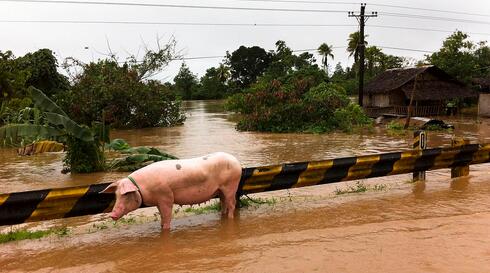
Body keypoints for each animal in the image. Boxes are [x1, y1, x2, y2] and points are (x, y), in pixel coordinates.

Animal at [100, 152, 243, 228]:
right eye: (116, 195)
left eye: (126, 195)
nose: (112, 214)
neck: (143, 187)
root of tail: (236, 161)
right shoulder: (159, 200)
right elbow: (162, 216)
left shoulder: (166, 196)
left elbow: (167, 216)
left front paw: (165, 229)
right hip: (221, 190)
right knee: (224, 203)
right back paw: (223, 217)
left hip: (231, 185)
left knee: (232, 204)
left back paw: (230, 219)